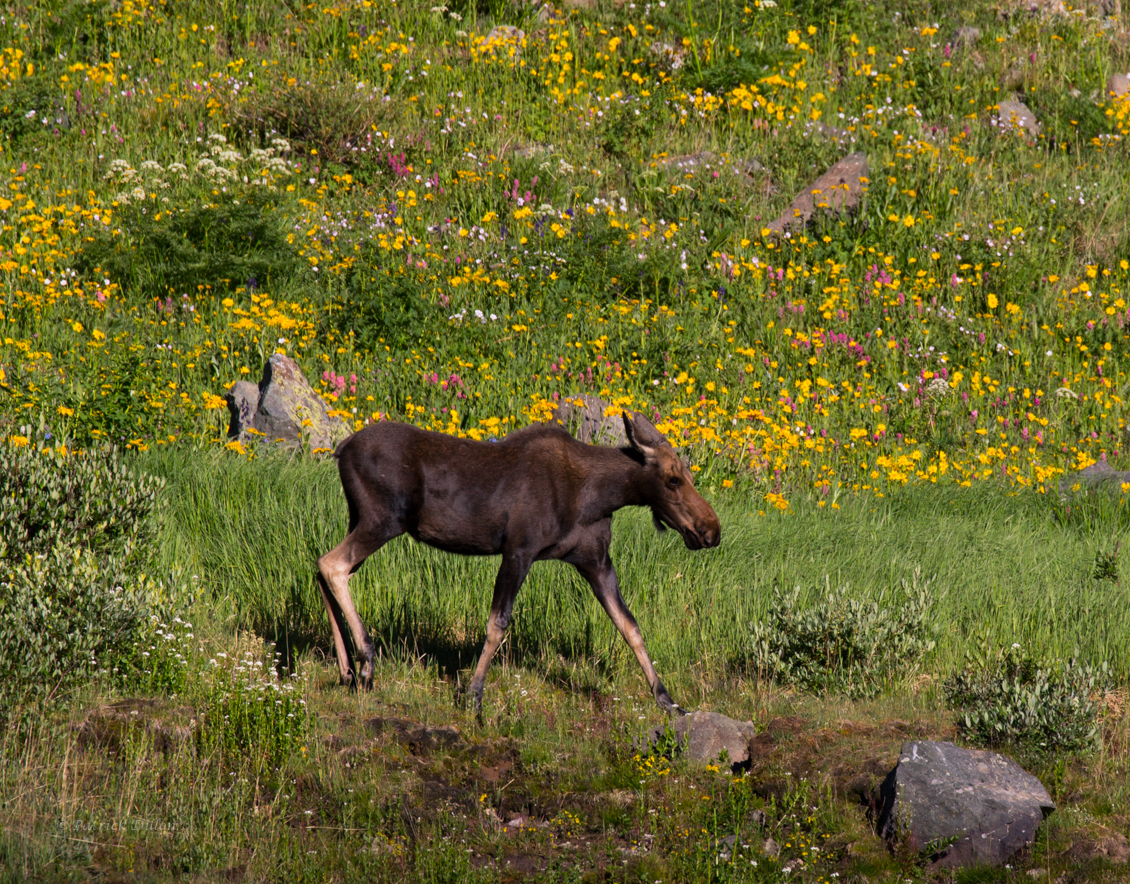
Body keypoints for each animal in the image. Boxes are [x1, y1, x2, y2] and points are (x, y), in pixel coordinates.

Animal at [315, 411, 721, 716]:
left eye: (690, 474)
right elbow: (498, 623)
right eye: (672, 479)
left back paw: (346, 668)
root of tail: (341, 449)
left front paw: (667, 700)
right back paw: (366, 662)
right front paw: (474, 696)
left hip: (361, 520)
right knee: (332, 564)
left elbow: (630, 626)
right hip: (383, 520)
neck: (600, 497)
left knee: (324, 567)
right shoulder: (519, 549)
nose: (711, 531)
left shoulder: (596, 562)